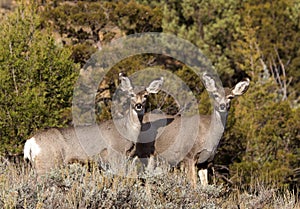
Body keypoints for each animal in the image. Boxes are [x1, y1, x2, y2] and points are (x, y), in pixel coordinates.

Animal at [23, 74, 164, 176]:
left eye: (146, 95)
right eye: (131, 94)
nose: (138, 105)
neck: (127, 131)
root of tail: (30, 142)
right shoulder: (115, 154)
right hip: (47, 163)